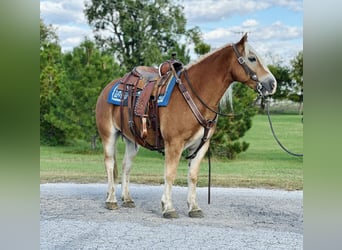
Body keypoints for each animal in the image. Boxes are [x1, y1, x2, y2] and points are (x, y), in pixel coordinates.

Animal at [95, 34, 276, 218]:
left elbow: (193, 176)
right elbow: (170, 174)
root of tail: (109, 87)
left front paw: (194, 207)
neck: (194, 95)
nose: (272, 84)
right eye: (252, 58)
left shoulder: (201, 145)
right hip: (108, 135)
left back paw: (127, 199)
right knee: (109, 164)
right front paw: (168, 207)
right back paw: (111, 200)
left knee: (126, 166)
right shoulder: (174, 144)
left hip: (132, 139)